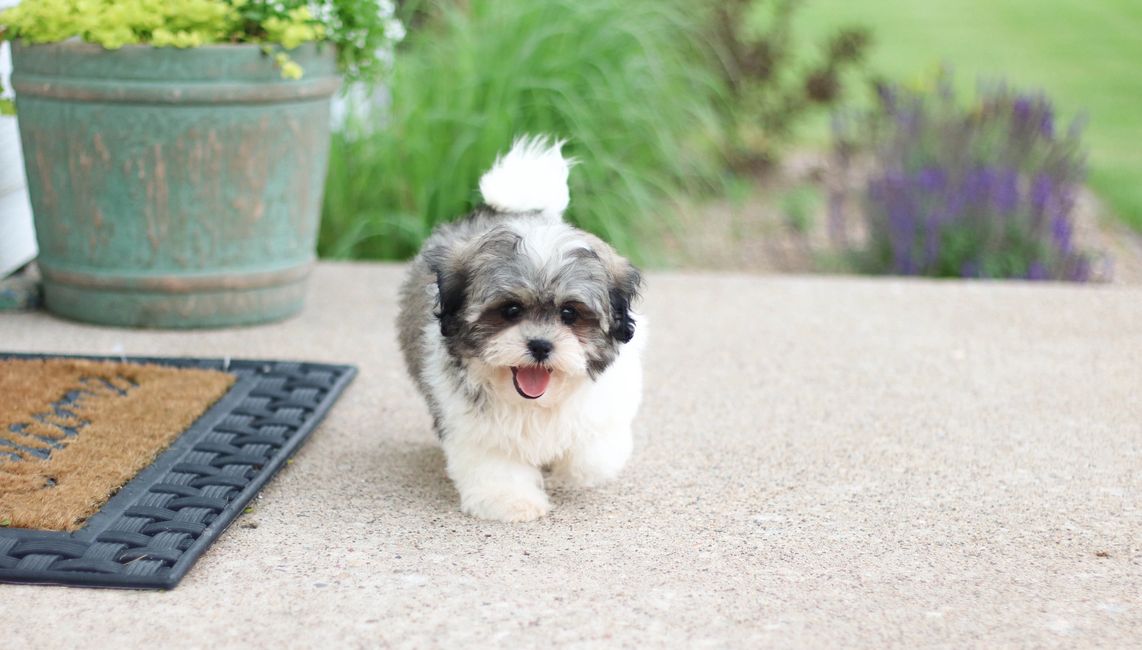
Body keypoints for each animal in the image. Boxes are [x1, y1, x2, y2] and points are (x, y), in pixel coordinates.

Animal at [397, 135, 648, 523]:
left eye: (569, 314)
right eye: (510, 310)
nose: (541, 345)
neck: (536, 402)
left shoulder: (604, 407)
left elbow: (594, 456)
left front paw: (569, 474)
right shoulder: (474, 426)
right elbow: (497, 465)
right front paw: (512, 501)